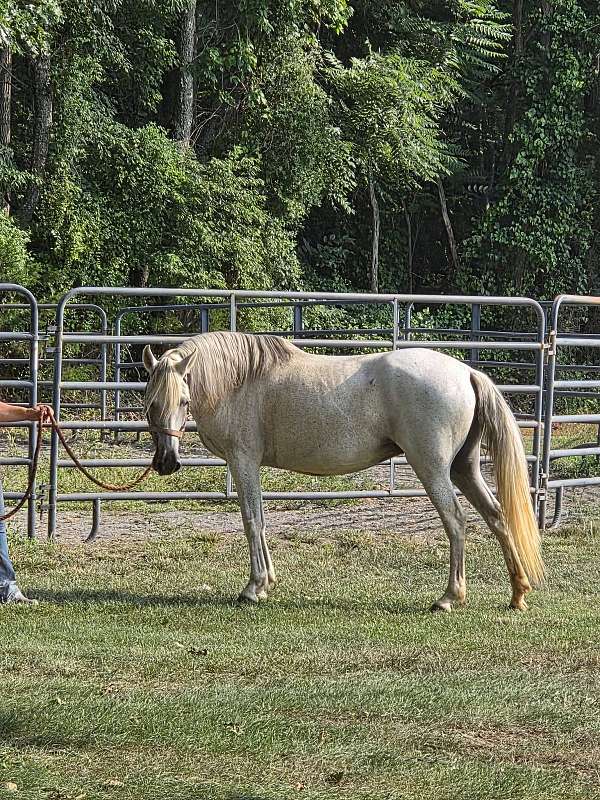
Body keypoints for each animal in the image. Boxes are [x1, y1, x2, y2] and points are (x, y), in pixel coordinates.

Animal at [142, 331, 543, 612]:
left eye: (183, 400)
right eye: (150, 404)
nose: (166, 462)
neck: (241, 382)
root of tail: (467, 372)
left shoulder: (244, 462)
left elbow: (251, 521)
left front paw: (254, 588)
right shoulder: (249, 466)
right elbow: (261, 520)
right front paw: (267, 582)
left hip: (433, 469)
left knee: (456, 521)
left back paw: (449, 597)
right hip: (465, 469)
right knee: (497, 516)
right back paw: (517, 593)